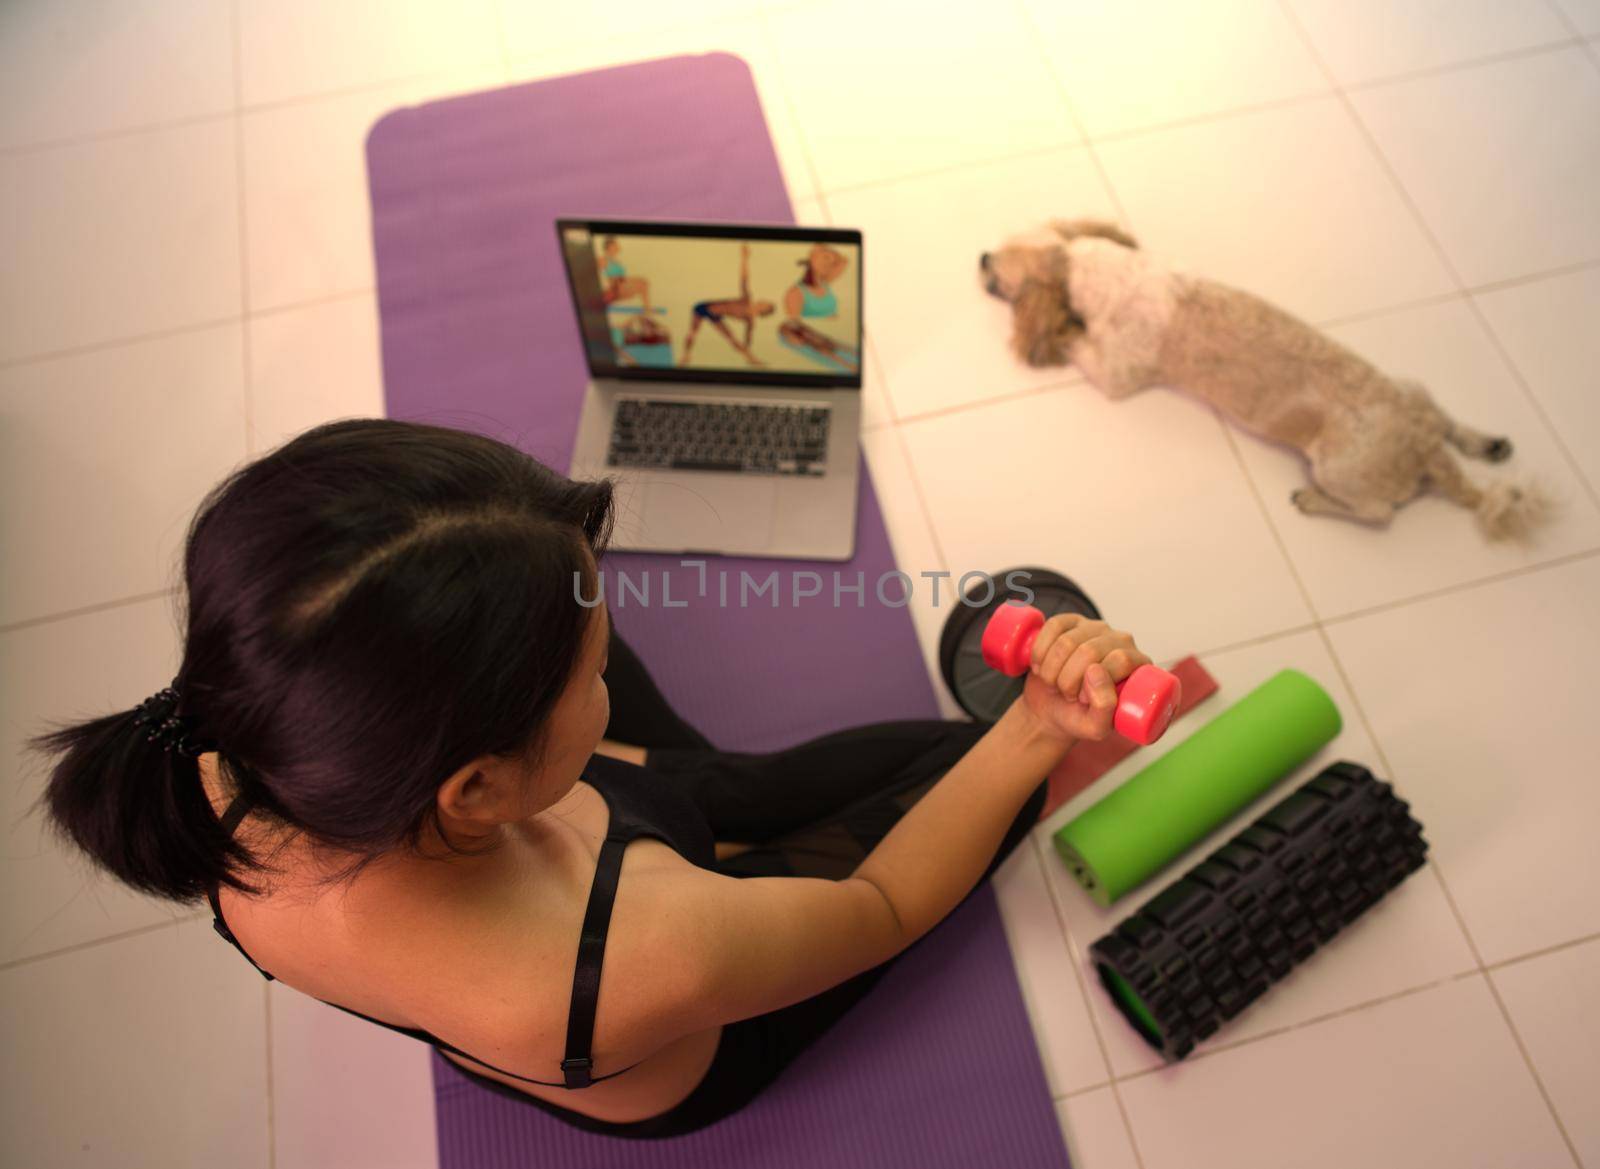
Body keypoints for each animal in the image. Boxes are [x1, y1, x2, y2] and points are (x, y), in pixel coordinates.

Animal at [972, 219, 1548, 540]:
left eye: (998, 269)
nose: (979, 255)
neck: (1110, 269)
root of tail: (1423, 449)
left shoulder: (1116, 370)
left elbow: (1078, 342)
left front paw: (1061, 329)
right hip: (1414, 389)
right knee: (1448, 420)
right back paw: (1485, 442)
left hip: (1338, 467)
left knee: (1378, 512)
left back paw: (1315, 501)